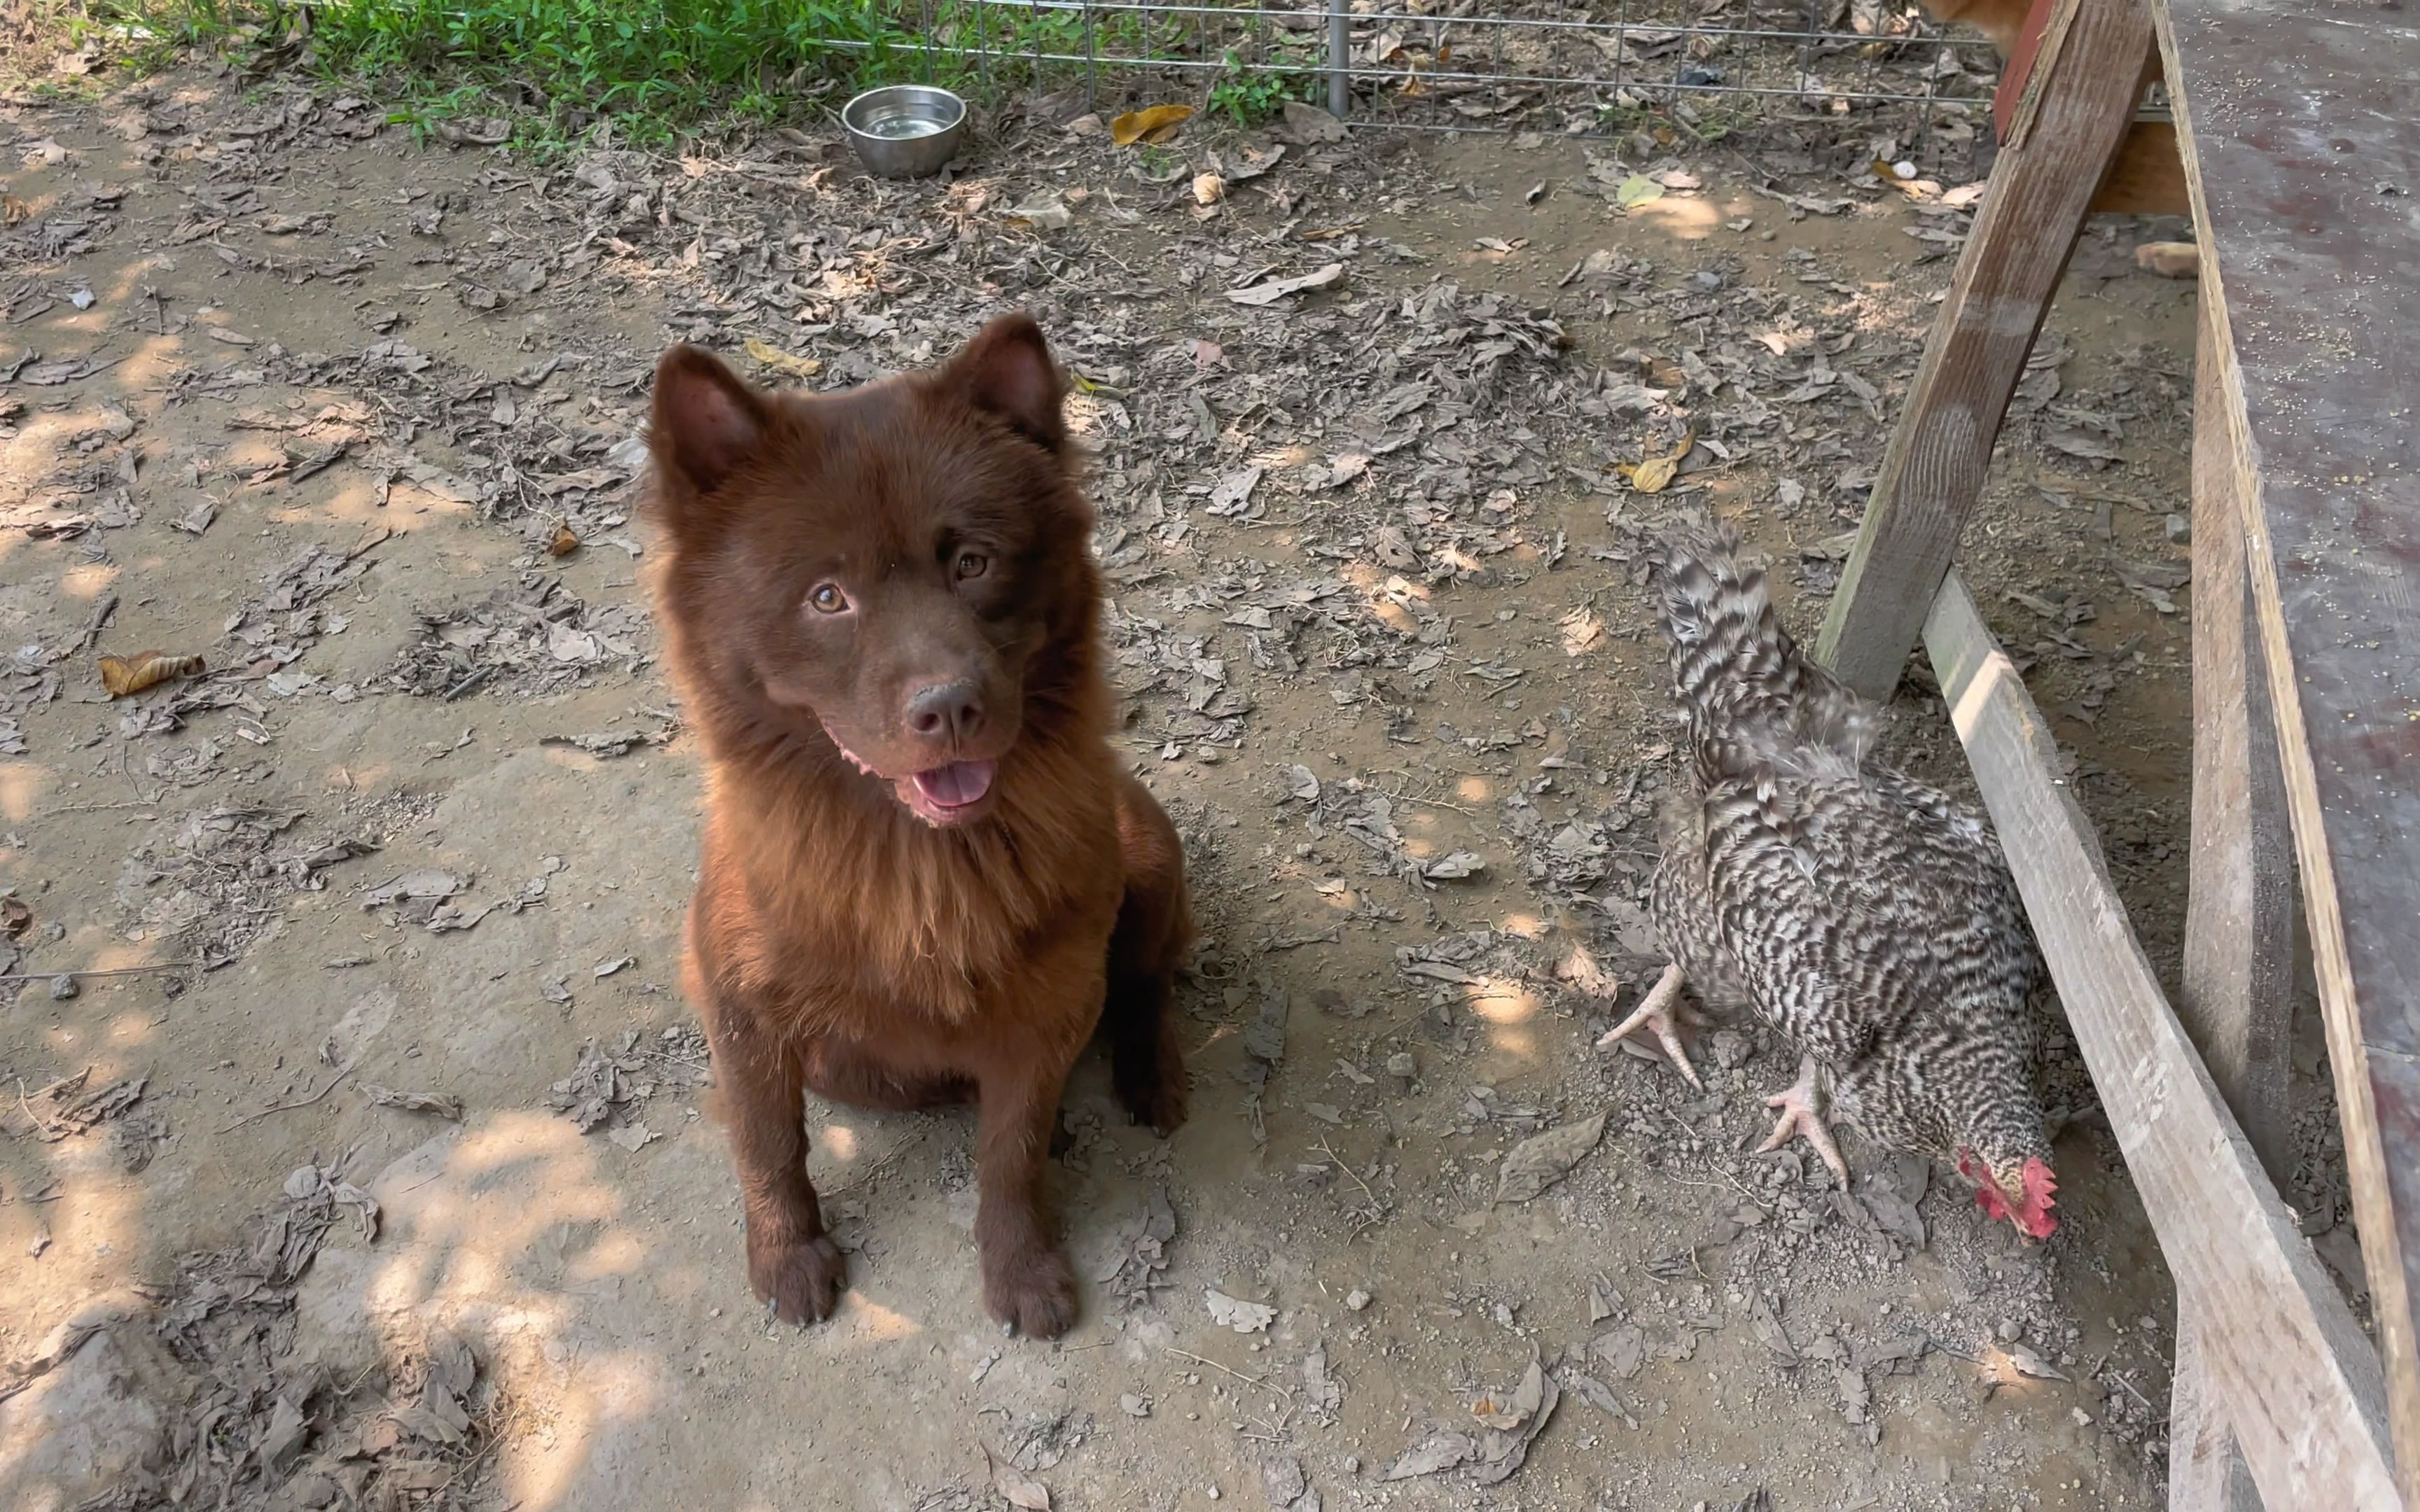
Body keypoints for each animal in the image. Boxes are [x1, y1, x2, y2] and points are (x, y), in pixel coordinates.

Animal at [648, 314, 1195, 1335]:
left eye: (972, 562)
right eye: (828, 598)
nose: (948, 708)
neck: (920, 865)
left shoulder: (1044, 1019)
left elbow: (1010, 1158)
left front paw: (1022, 1271)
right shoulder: (740, 1006)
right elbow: (766, 1142)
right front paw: (788, 1258)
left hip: (1149, 859)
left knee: (1148, 986)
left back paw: (1151, 1078)